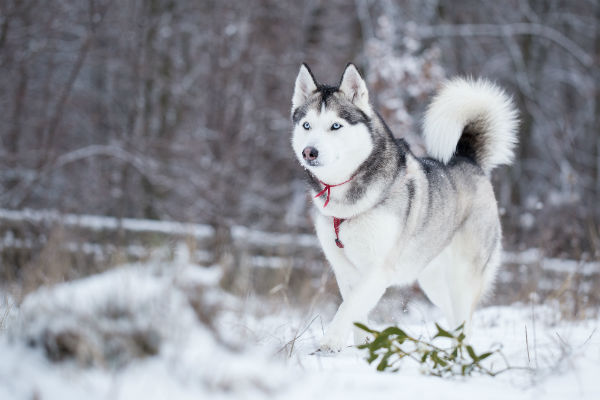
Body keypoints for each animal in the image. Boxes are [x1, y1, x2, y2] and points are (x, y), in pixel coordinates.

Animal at [290, 63, 516, 354]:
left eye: (335, 125)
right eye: (306, 125)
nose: (309, 152)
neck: (347, 202)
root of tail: (468, 159)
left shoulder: (378, 269)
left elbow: (348, 308)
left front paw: (331, 342)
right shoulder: (345, 270)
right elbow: (356, 313)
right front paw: (362, 349)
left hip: (463, 277)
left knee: (465, 321)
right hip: (434, 281)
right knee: (454, 317)